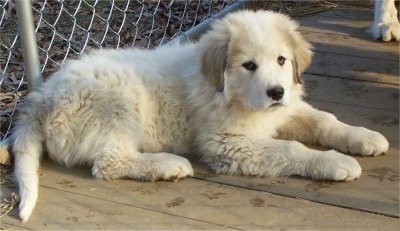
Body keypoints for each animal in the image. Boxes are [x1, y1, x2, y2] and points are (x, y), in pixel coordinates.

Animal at [8, 10, 388, 222]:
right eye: (249, 65)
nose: (276, 92)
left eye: (282, 60)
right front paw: (336, 162)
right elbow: (290, 149)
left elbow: (324, 120)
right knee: (109, 163)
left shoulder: (285, 111)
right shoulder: (228, 143)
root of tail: (42, 97)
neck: (230, 93)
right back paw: (168, 164)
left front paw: (364, 137)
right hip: (119, 99)